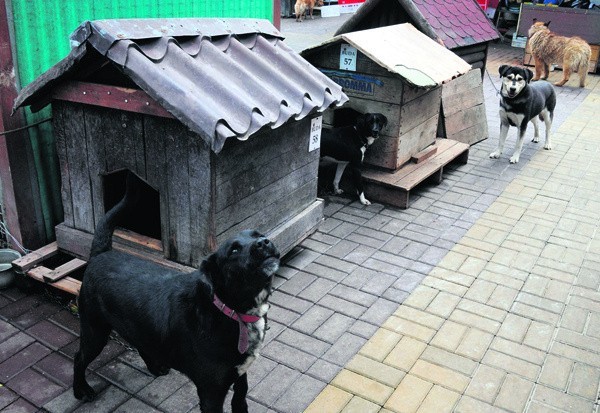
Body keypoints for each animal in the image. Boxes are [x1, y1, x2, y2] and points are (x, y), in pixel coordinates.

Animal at [74, 172, 280, 412]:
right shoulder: (211, 391)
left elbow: (241, 399)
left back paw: (154, 367)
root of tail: (101, 254)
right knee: (79, 358)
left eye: (259, 234)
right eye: (234, 250)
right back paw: (81, 390)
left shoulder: (240, 374)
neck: (229, 310)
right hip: (94, 331)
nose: (263, 242)